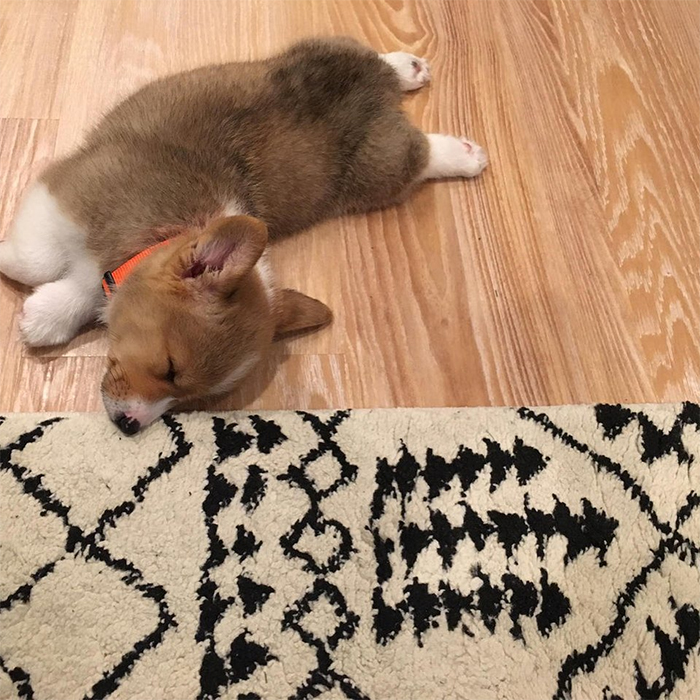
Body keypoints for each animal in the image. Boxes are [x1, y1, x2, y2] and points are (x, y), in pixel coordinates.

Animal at [1, 38, 486, 434]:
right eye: (171, 368)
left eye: (185, 394)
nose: (129, 425)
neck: (164, 231)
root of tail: (376, 90)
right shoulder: (63, 197)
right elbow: (41, 260)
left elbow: (79, 283)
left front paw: (44, 316)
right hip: (325, 55)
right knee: (377, 64)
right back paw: (409, 69)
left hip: (379, 171)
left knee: (421, 154)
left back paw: (462, 151)